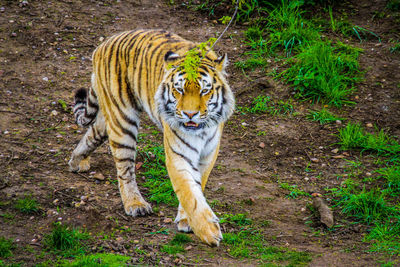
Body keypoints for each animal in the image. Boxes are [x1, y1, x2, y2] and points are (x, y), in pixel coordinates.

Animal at [68, 29, 234, 247]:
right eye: (179, 89)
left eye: (204, 90)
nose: (190, 114)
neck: (201, 129)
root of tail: (103, 44)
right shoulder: (178, 155)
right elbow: (189, 193)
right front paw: (209, 231)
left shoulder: (208, 155)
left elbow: (197, 186)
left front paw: (186, 220)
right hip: (122, 120)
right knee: (125, 169)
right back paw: (135, 204)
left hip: (108, 117)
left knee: (93, 132)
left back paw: (77, 161)